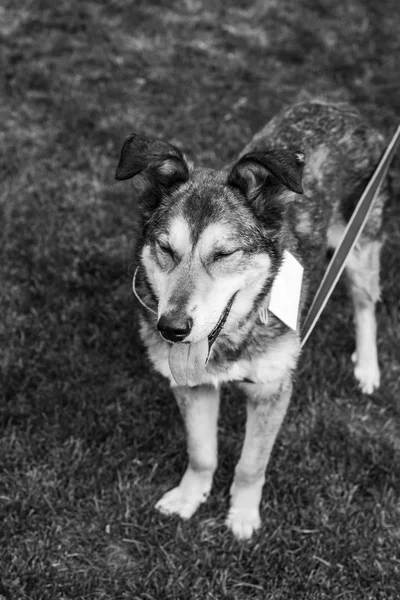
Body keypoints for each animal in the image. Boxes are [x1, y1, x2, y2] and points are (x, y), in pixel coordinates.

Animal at [115, 101, 388, 540]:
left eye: (225, 254)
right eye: (165, 249)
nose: (171, 330)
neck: (233, 339)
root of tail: (338, 105)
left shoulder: (272, 391)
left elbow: (251, 464)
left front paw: (242, 516)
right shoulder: (192, 388)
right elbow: (202, 453)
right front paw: (189, 497)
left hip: (363, 244)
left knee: (366, 307)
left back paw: (366, 367)